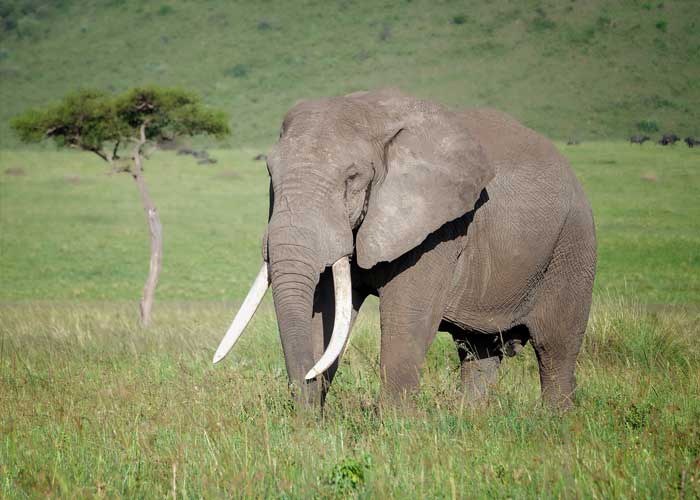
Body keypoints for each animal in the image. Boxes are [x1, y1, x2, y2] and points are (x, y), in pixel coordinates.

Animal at [213, 89, 596, 410]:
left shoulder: (438, 227)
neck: (371, 112)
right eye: (270, 174)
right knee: (479, 352)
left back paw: (555, 424)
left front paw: (396, 431)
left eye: (352, 178)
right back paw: (471, 421)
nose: (304, 421)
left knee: (555, 348)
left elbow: (407, 317)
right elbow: (324, 312)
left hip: (572, 245)